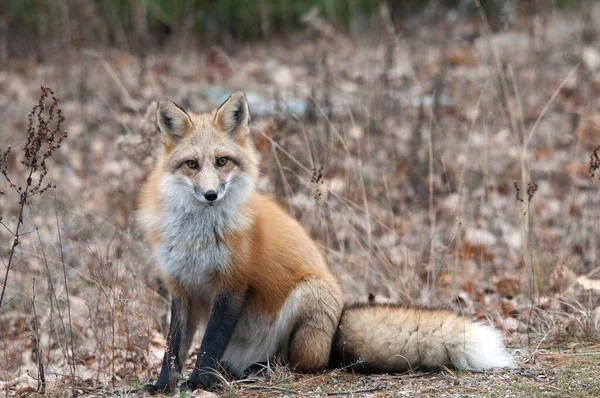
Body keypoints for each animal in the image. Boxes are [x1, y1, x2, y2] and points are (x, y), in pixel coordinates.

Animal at [137, 92, 516, 392]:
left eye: (222, 162)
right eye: (191, 164)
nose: (211, 195)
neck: (197, 236)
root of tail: (336, 330)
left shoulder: (232, 285)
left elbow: (210, 343)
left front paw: (200, 381)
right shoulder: (180, 286)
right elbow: (173, 346)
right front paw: (163, 385)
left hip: (309, 293)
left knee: (301, 363)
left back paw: (260, 370)